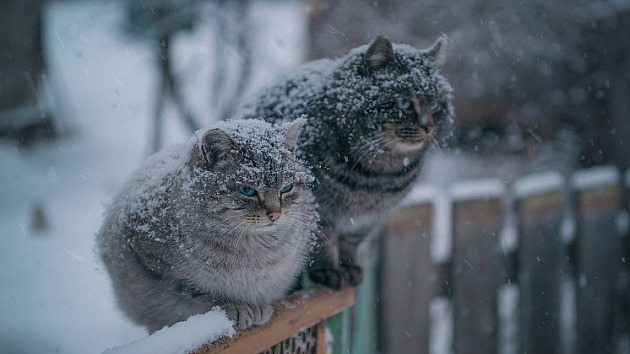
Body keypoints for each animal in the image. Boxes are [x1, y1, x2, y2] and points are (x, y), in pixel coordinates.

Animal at [96, 119, 318, 332]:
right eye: (247, 190)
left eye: (286, 188)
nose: (275, 214)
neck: (252, 248)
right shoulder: (161, 268)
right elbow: (203, 293)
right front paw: (237, 306)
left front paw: (258, 305)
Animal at [237, 35, 454, 290]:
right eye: (404, 103)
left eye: (437, 105)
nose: (429, 127)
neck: (379, 174)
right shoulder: (318, 208)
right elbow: (323, 241)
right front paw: (328, 271)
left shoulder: (368, 218)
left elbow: (351, 242)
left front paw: (349, 268)